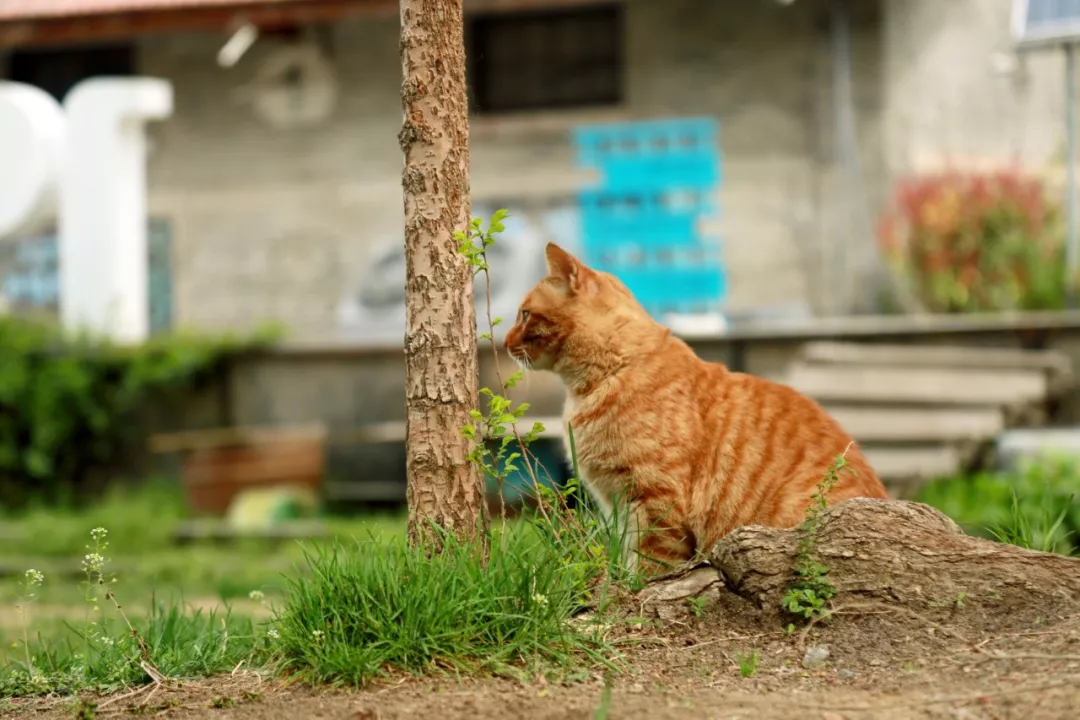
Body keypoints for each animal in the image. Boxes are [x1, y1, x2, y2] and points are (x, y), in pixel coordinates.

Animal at [503, 241, 885, 574]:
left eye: (525, 314)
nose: (504, 343)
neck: (610, 372)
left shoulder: (655, 500)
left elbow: (650, 566)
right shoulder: (619, 506)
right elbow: (628, 560)